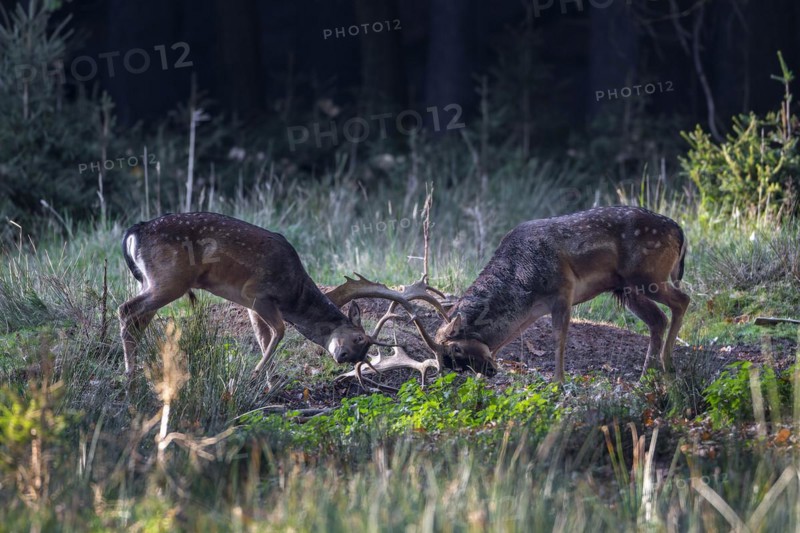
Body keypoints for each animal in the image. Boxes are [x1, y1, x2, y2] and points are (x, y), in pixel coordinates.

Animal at [118, 212, 446, 387]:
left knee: (137, 318)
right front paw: (257, 373)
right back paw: (130, 373)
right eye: (358, 339)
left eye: (361, 353)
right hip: (169, 279)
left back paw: (135, 372)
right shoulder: (258, 293)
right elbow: (280, 331)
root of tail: (136, 231)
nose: (342, 356)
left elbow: (264, 337)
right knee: (126, 310)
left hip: (150, 280)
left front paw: (268, 381)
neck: (294, 294)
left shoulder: (251, 306)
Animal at [347, 206, 690, 383]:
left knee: (682, 301)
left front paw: (558, 381)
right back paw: (648, 373)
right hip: (628, 288)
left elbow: (559, 337)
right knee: (658, 319)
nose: (487, 372)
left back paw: (668, 364)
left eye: (455, 352)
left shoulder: (563, 290)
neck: (525, 283)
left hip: (648, 276)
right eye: (444, 364)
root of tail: (679, 231)